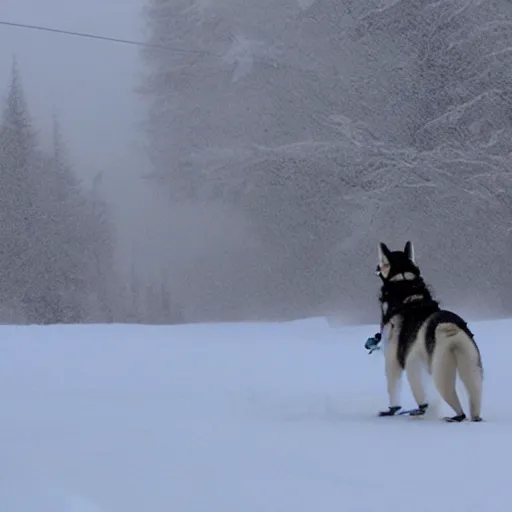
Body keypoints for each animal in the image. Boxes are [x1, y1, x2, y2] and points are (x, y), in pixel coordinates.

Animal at [374, 242, 482, 422]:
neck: (403, 279)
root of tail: (448, 327)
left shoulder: (392, 358)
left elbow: (393, 387)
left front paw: (391, 411)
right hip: (472, 366)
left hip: (437, 369)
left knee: (453, 405)